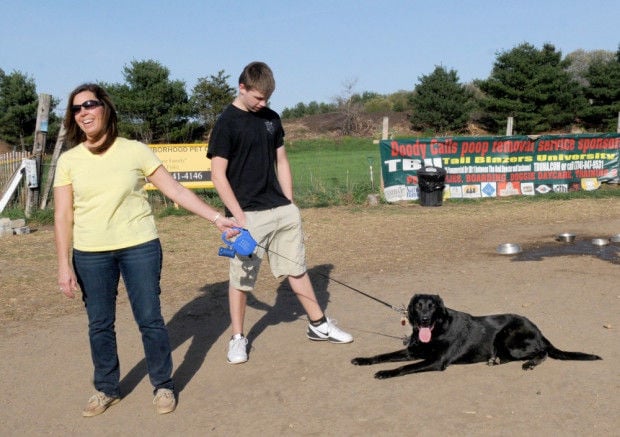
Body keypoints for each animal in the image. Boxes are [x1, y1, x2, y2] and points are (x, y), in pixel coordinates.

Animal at [354, 292, 600, 378]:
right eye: (418, 305)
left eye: (432, 306)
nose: (423, 319)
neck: (437, 330)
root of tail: (538, 328)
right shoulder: (411, 351)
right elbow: (382, 356)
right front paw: (364, 360)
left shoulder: (436, 361)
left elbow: (404, 367)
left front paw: (385, 373)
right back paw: (495, 360)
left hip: (508, 337)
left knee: (543, 351)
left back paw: (529, 363)